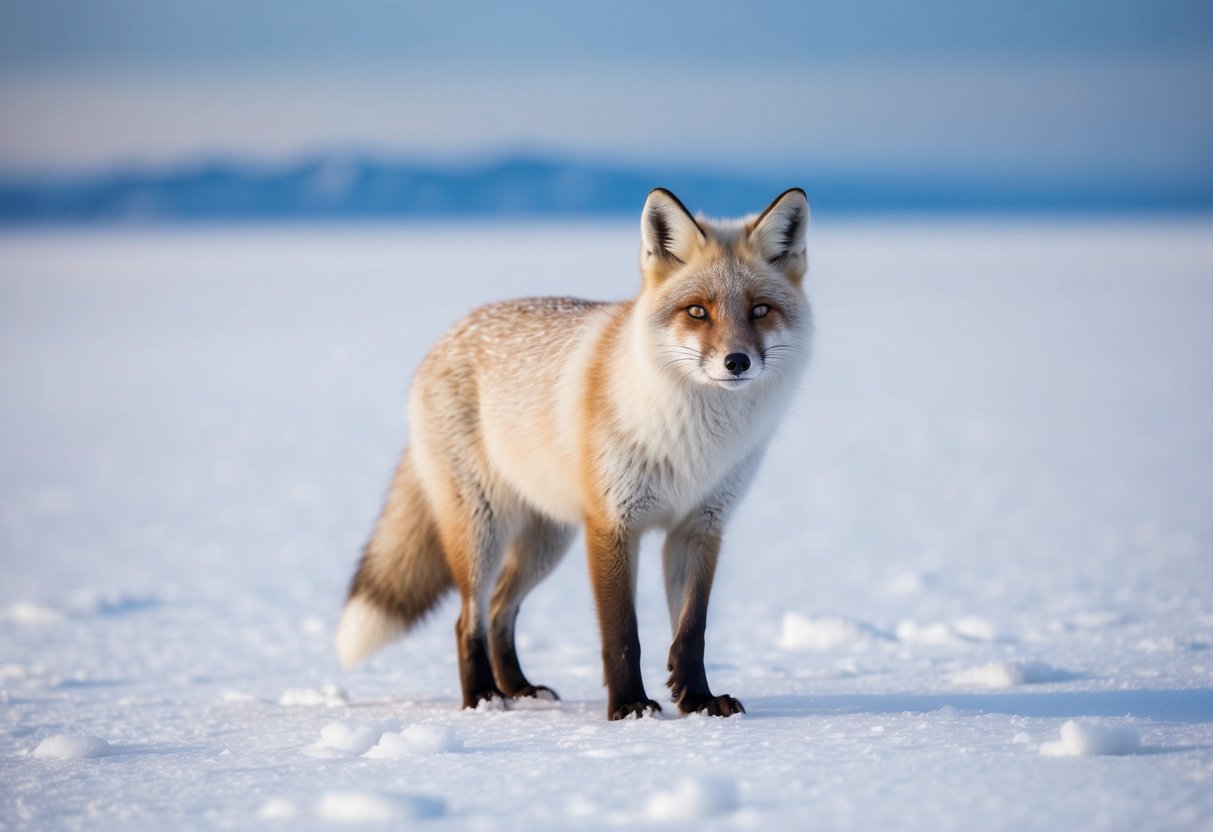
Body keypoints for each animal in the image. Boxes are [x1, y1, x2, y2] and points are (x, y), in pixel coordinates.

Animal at [335, 187, 812, 720]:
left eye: (759, 311)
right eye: (697, 312)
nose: (737, 361)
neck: (694, 441)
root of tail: (447, 335)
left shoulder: (699, 526)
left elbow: (692, 632)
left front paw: (697, 701)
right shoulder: (611, 524)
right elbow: (622, 634)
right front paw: (629, 707)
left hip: (547, 540)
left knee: (500, 609)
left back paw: (520, 687)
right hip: (483, 529)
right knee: (467, 620)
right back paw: (482, 697)